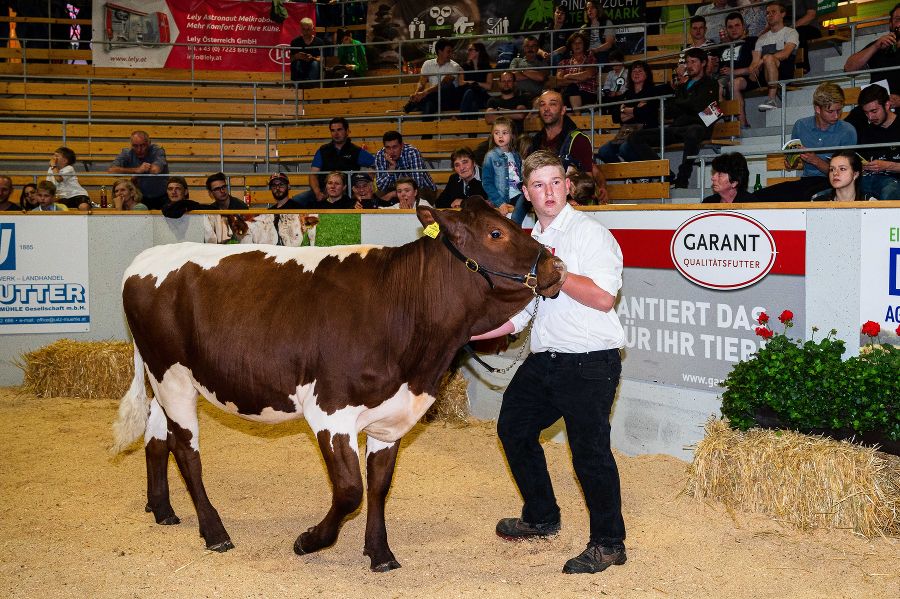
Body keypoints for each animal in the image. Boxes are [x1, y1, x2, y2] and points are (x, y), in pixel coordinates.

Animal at [110, 198, 564, 572]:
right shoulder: (330, 410)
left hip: (162, 378)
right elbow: (350, 490)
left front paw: (380, 554)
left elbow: (379, 486)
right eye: (495, 233)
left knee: (157, 436)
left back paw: (163, 509)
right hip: (173, 377)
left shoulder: (391, 416)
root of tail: (145, 259)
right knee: (186, 450)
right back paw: (215, 532)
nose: (556, 268)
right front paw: (309, 541)